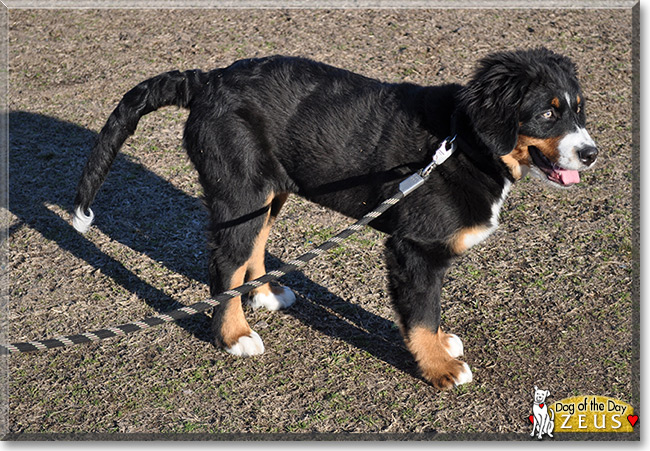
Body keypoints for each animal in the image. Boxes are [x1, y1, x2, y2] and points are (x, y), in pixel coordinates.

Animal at [73, 47, 596, 390]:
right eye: (547, 114)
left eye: (577, 109)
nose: (591, 154)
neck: (463, 141)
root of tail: (207, 80)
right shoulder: (414, 249)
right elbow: (420, 313)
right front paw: (439, 369)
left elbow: (429, 313)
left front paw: (443, 345)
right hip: (240, 193)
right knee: (225, 264)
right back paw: (234, 335)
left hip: (268, 192)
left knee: (253, 248)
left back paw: (266, 293)